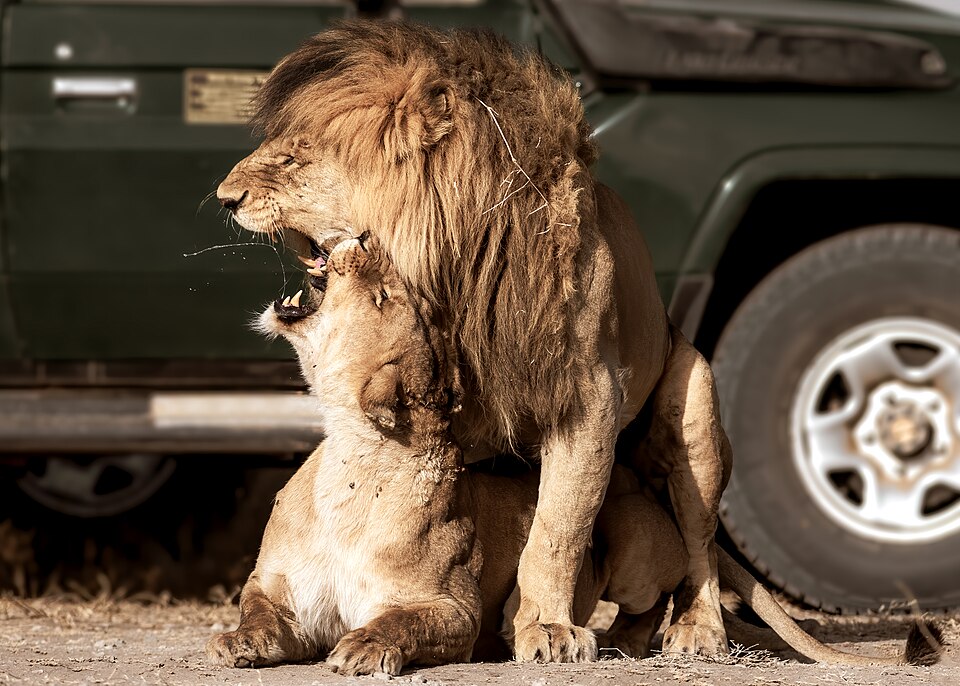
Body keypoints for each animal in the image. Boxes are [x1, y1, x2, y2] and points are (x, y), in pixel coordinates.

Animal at [206, 235, 942, 674]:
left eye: (386, 295)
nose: (361, 239)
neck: (350, 463)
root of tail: (638, 489)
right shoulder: (277, 587)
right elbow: (258, 610)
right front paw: (237, 641)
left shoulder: (452, 608)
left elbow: (401, 622)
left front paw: (364, 647)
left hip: (645, 516)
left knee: (674, 580)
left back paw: (640, 638)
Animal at [215, 19, 731, 660]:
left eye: (294, 156)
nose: (224, 197)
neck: (448, 279)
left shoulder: (587, 398)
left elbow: (558, 529)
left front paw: (545, 626)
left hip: (694, 410)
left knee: (700, 543)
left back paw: (697, 627)